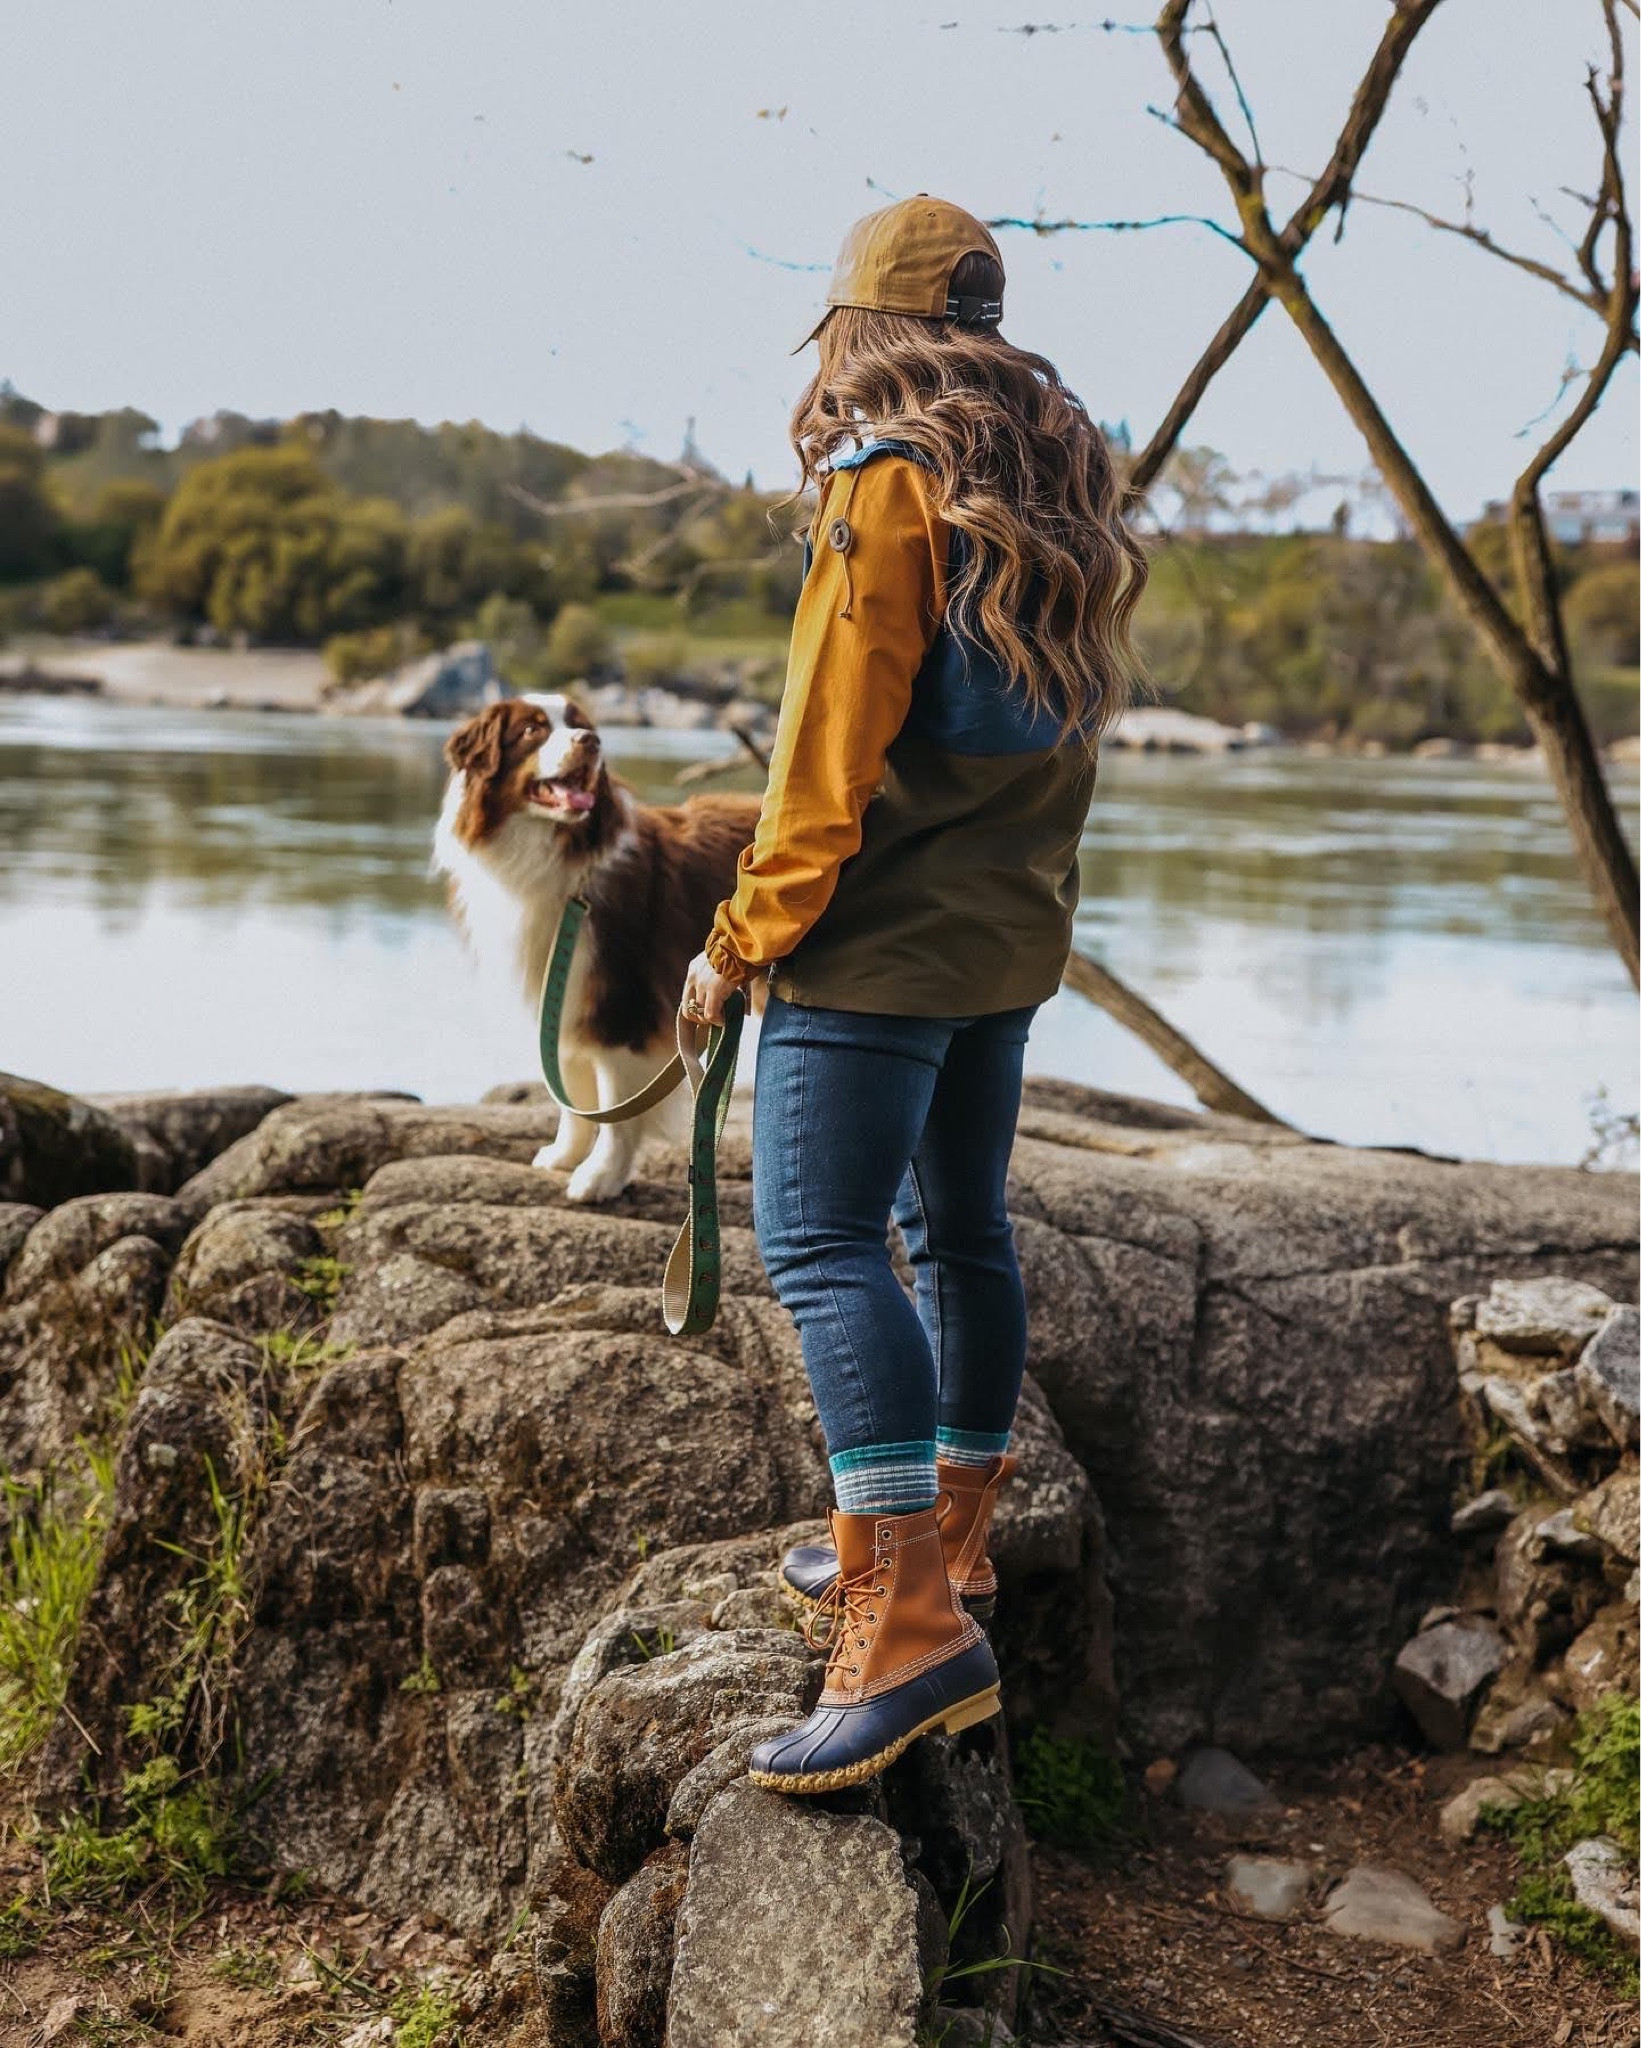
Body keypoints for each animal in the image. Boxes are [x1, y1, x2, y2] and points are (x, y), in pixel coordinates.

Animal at [434, 696, 770, 1196]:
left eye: (579, 724)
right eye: (532, 730)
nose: (591, 741)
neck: (560, 855)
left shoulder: (620, 1002)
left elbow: (615, 1105)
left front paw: (600, 1175)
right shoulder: (564, 994)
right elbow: (571, 1091)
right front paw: (564, 1155)